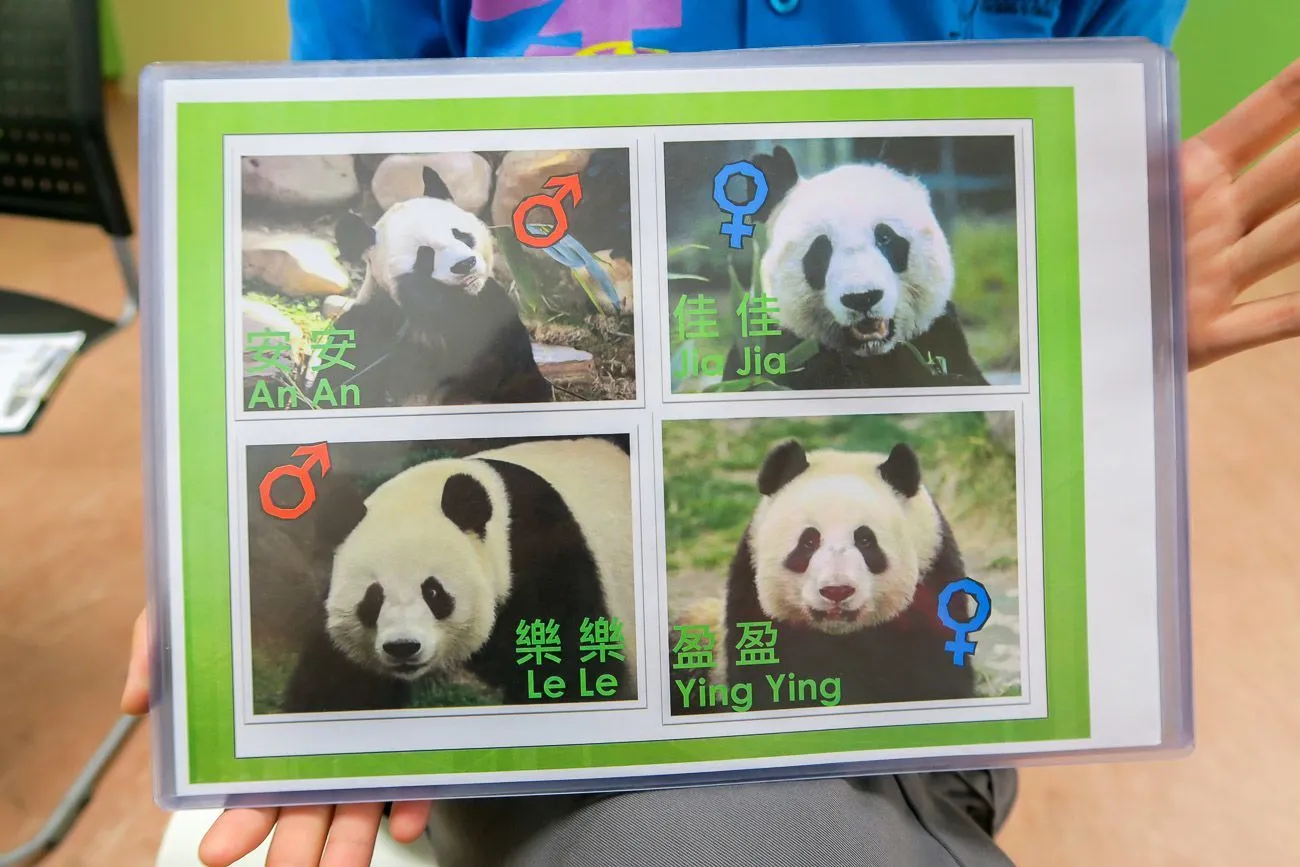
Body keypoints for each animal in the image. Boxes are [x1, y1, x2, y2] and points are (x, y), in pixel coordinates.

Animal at [280, 435, 637, 713]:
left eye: (433, 592)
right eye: (373, 597)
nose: (403, 647)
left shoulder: (549, 565)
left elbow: (571, 671)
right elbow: (339, 683)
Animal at [322, 166, 554, 408]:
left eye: (459, 235)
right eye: (425, 254)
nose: (465, 264)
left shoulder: (494, 317)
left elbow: (518, 380)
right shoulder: (374, 329)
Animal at [671, 437, 977, 716]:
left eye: (865, 540)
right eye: (808, 541)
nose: (837, 591)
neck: (840, 635)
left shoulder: (933, 594)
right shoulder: (755, 610)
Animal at [723, 146, 988, 391]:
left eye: (885, 237)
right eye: (820, 250)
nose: (862, 298)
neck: (871, 353)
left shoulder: (939, 337)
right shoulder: (780, 351)